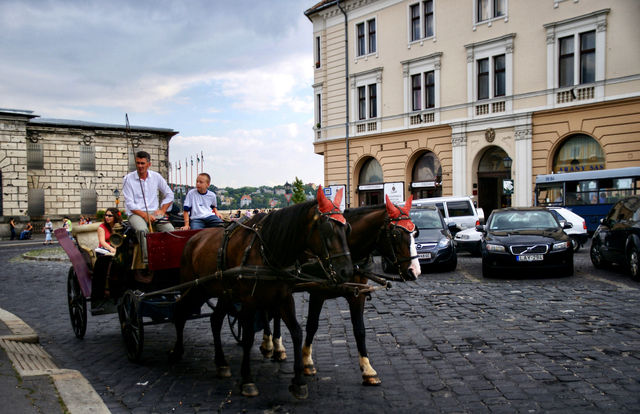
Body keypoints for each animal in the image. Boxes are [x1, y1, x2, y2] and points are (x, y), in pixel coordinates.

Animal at [170, 187, 350, 398]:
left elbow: (296, 332)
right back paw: (177, 351)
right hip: (193, 288)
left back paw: (221, 363)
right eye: (328, 229)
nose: (348, 271)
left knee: (214, 320)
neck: (267, 251)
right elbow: (248, 337)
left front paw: (298, 381)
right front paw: (247, 379)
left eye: (347, 229)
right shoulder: (249, 302)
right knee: (179, 311)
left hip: (221, 292)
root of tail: (194, 238)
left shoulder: (284, 299)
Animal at [258, 196, 420, 386]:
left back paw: (276, 347)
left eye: (414, 233)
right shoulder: (317, 293)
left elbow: (359, 329)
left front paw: (367, 369)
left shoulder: (358, 294)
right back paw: (270, 344)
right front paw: (307, 361)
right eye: (396, 234)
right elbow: (312, 325)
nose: (415, 271)